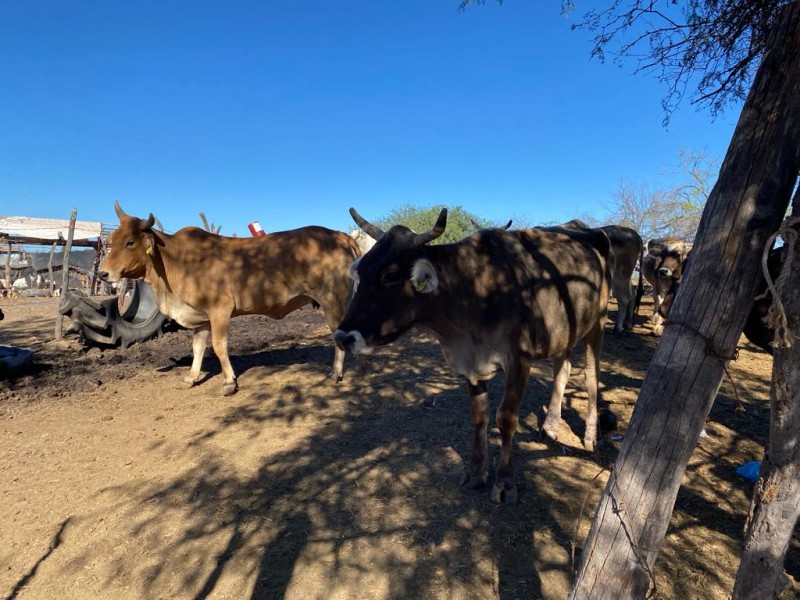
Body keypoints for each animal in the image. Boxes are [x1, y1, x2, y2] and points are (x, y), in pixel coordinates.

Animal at [99, 204, 360, 396]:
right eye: (111, 241)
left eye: (130, 242)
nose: (103, 273)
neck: (178, 261)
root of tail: (342, 236)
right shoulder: (201, 317)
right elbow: (197, 347)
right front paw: (191, 377)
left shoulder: (220, 310)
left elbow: (219, 345)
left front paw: (228, 382)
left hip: (332, 300)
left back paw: (335, 373)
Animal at [332, 209, 612, 504]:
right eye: (360, 272)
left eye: (390, 275)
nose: (342, 337)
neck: (472, 292)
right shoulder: (470, 364)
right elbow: (479, 416)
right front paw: (477, 473)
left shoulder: (519, 359)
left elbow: (506, 418)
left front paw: (504, 483)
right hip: (565, 330)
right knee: (562, 370)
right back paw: (551, 426)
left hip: (598, 322)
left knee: (591, 377)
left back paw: (592, 437)